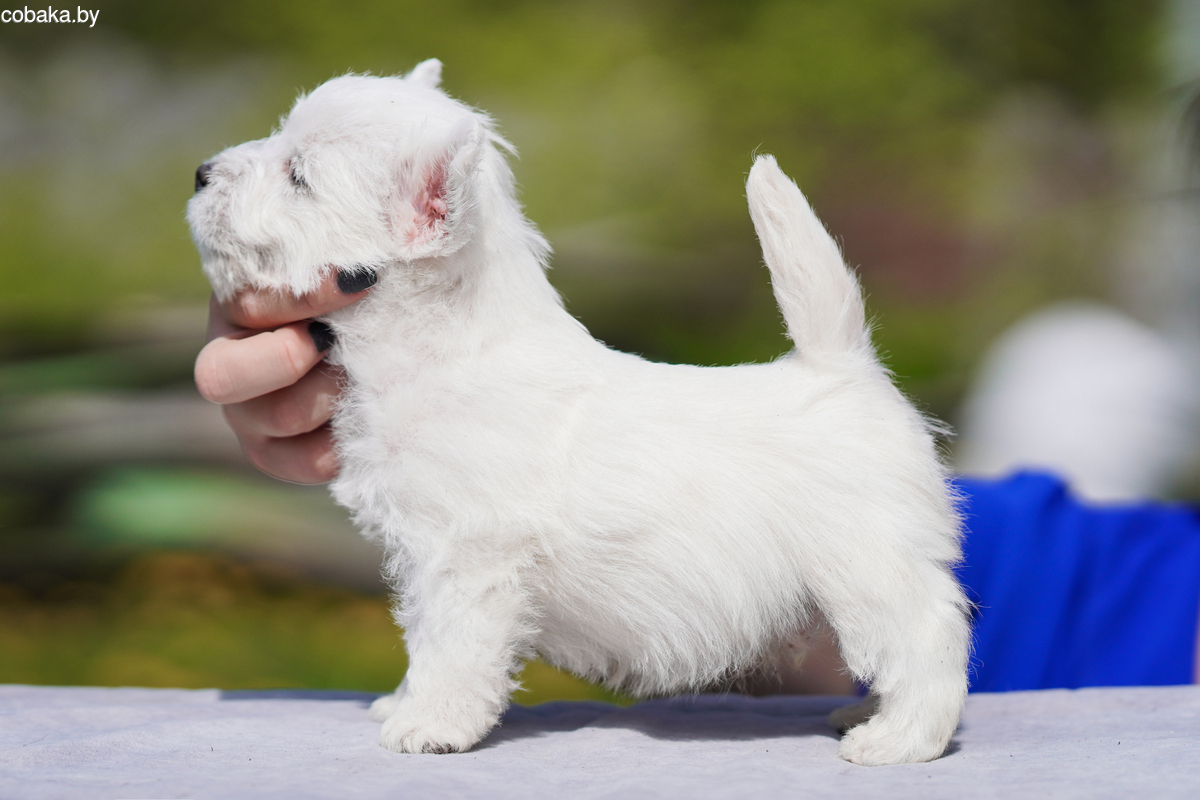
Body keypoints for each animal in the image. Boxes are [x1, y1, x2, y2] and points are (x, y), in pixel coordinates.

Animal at [189, 59, 974, 767]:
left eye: (299, 175)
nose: (200, 172)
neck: (441, 346)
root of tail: (844, 366)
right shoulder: (423, 559)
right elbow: (422, 637)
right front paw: (405, 701)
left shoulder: (471, 558)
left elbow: (453, 647)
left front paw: (433, 726)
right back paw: (866, 714)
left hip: (868, 563)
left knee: (928, 639)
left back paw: (899, 740)